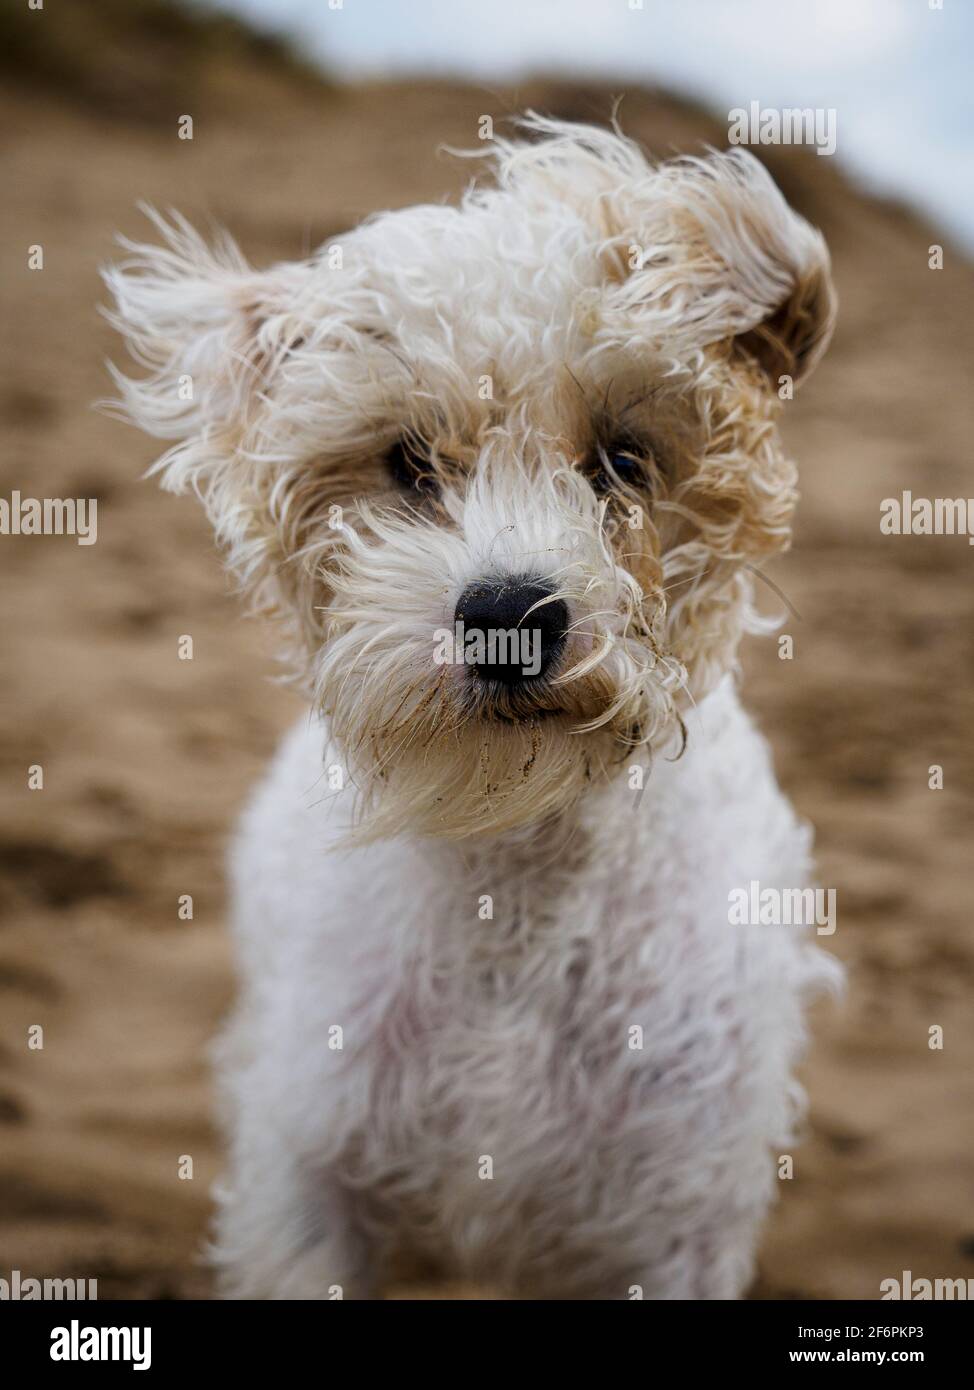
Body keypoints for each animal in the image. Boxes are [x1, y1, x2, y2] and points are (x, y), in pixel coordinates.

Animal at [104, 119, 833, 1301]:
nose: (507, 615)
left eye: (622, 459)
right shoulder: (310, 1184)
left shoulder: (673, 1221)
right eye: (407, 463)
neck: (515, 893)